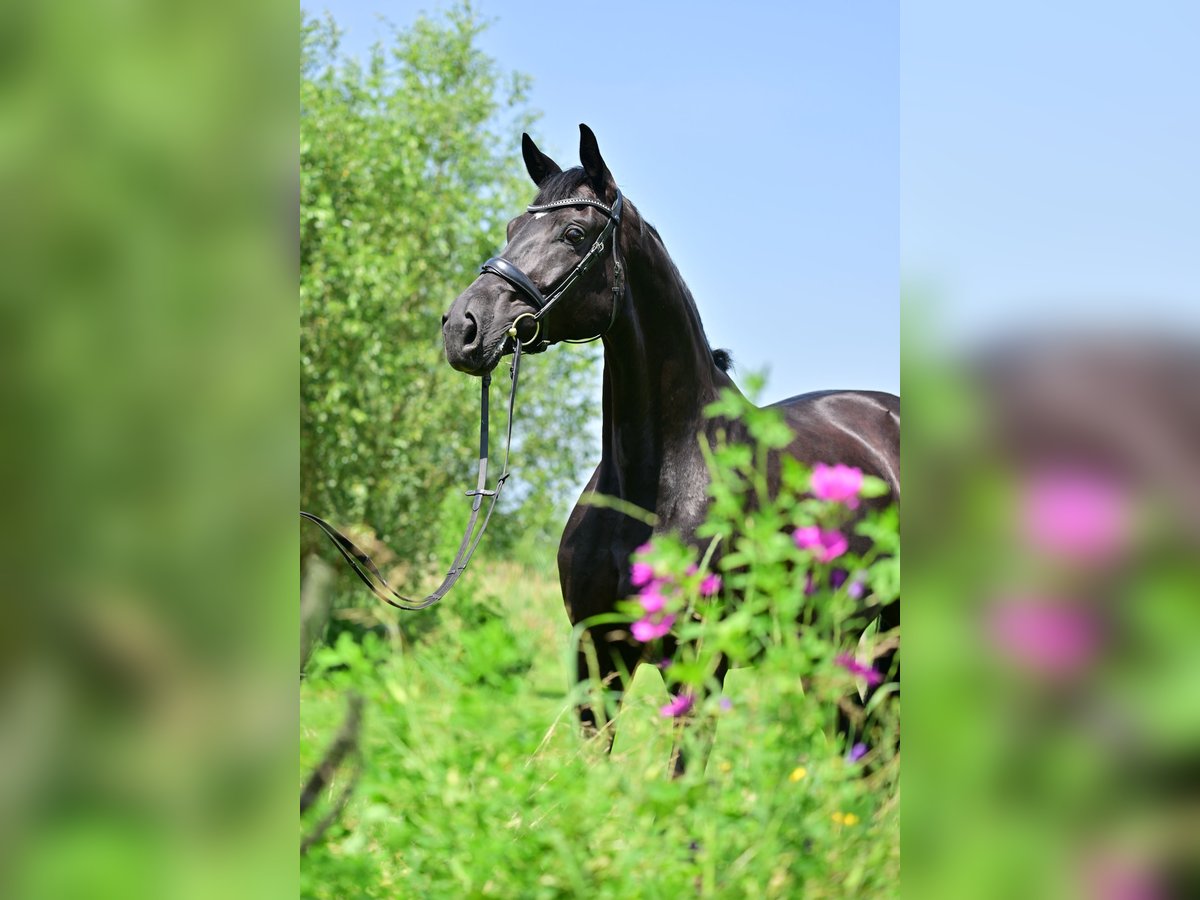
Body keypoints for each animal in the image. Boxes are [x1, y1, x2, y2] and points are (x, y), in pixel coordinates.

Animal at [444, 127, 902, 763]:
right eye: (513, 227)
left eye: (574, 234)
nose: (462, 327)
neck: (658, 479)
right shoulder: (596, 655)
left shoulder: (700, 662)